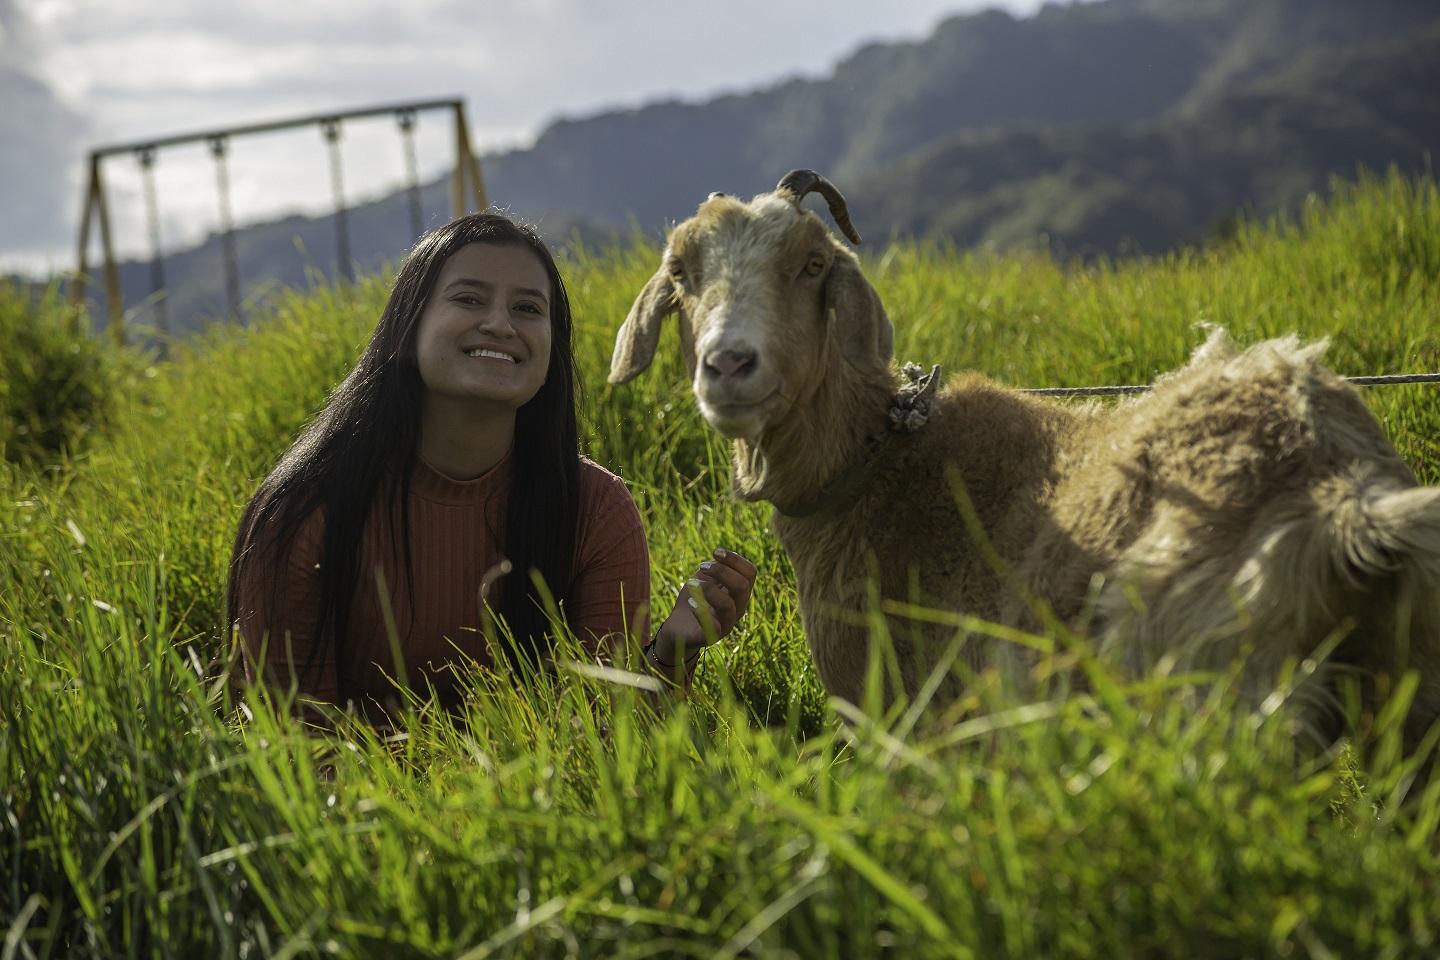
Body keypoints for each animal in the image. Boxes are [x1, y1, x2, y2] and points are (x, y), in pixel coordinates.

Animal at [607, 169, 1440, 748]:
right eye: (680, 273)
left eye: (813, 263)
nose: (728, 366)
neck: (876, 468)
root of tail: (1343, 496)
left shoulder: (899, 715)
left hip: (1214, 691)